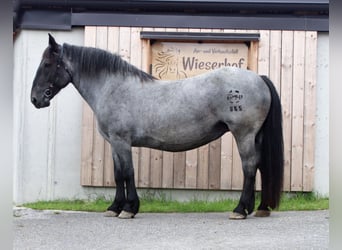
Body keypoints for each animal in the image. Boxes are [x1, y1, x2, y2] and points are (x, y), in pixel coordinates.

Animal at [31, 34, 284, 220]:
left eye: (47, 64)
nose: (35, 99)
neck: (113, 87)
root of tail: (259, 78)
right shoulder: (114, 143)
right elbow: (117, 174)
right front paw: (114, 207)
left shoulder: (122, 141)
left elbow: (128, 172)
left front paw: (129, 209)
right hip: (255, 136)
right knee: (261, 166)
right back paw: (260, 208)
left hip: (244, 134)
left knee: (250, 167)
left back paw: (240, 210)